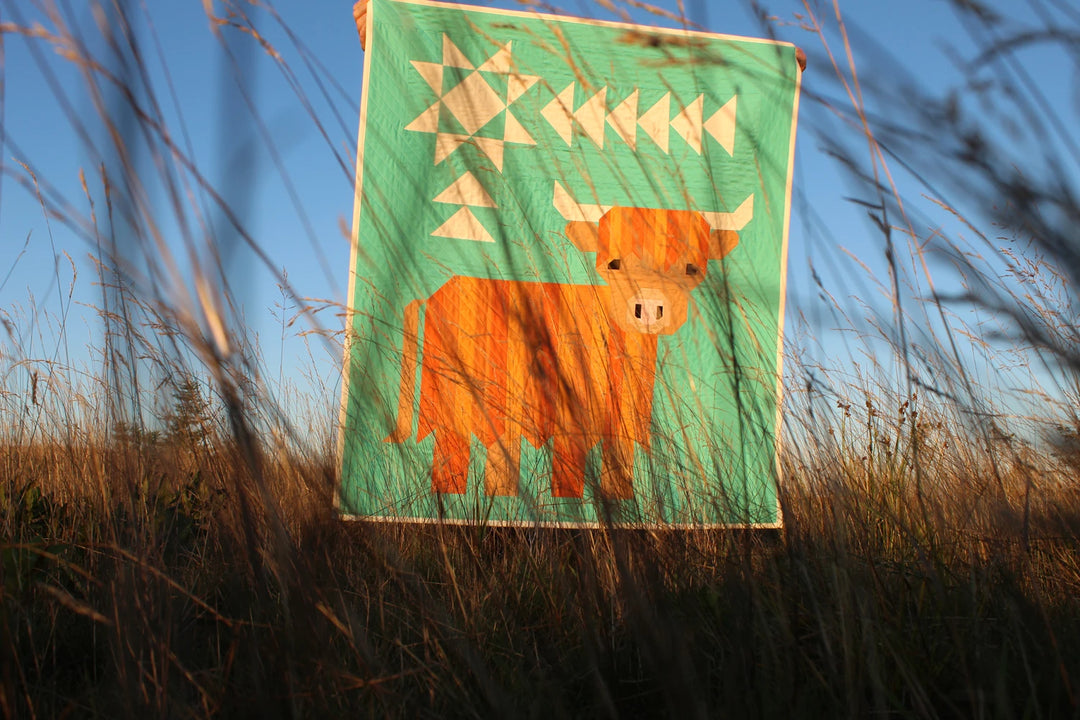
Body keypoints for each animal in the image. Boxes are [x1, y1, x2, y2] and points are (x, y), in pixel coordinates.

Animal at [386, 184, 753, 500]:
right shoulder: (570, 427)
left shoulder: (618, 432)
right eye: (613, 263)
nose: (649, 308)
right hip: (454, 411)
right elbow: (569, 481)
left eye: (691, 268)